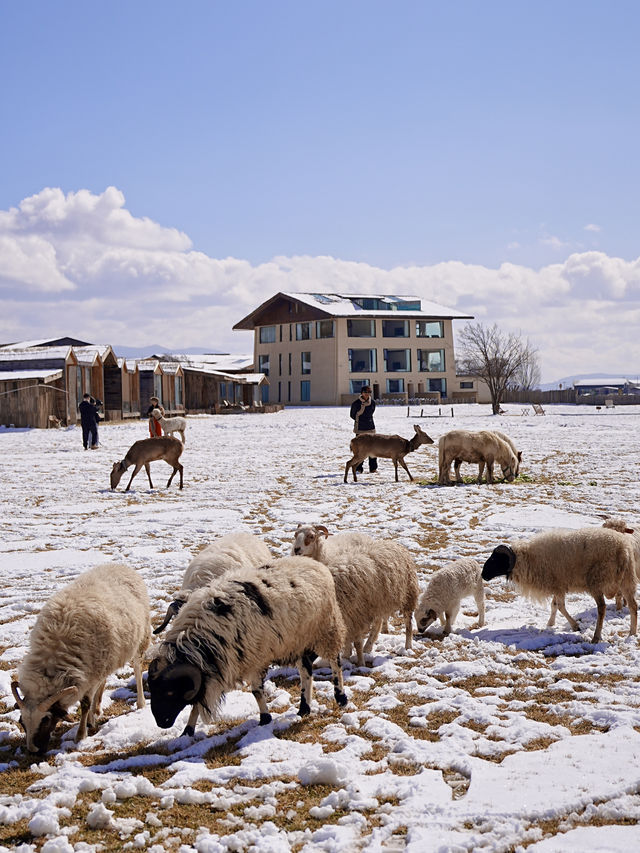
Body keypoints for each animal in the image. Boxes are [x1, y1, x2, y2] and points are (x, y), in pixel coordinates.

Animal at [11, 564, 151, 752]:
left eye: (46, 720)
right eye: (21, 721)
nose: (33, 751)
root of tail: (120, 565)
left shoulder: (89, 673)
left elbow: (84, 703)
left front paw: (80, 735)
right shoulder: (92, 668)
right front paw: (90, 719)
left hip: (140, 639)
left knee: (137, 667)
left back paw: (140, 702)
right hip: (106, 657)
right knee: (103, 681)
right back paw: (96, 712)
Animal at [148, 556, 348, 736]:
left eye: (170, 693)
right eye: (153, 689)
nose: (161, 723)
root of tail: (313, 562)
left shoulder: (254, 659)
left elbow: (256, 691)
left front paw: (265, 719)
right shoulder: (211, 670)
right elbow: (199, 700)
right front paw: (188, 731)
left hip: (327, 629)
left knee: (335, 661)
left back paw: (340, 697)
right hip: (299, 640)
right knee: (306, 671)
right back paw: (304, 708)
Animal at [290, 520, 420, 664]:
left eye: (311, 536)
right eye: (295, 535)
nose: (296, 550)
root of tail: (394, 544)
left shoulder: (355, 614)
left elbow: (356, 641)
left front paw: (358, 660)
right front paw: (347, 654)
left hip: (408, 594)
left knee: (407, 623)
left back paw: (407, 646)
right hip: (379, 600)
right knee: (379, 621)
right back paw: (369, 646)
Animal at [482, 524, 636, 640]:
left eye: (495, 559)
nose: (483, 574)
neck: (528, 559)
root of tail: (623, 550)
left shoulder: (558, 585)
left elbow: (561, 606)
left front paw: (575, 626)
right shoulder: (557, 584)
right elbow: (554, 605)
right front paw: (551, 623)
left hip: (597, 581)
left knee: (602, 608)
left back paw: (596, 637)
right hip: (627, 580)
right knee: (633, 606)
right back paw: (632, 634)